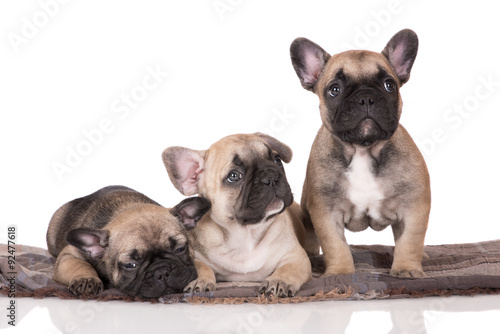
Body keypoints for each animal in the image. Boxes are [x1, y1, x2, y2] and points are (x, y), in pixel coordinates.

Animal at [47, 185, 211, 298]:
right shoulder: (69, 254)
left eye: (180, 249)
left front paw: (202, 280)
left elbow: (201, 264)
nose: (162, 272)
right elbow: (78, 263)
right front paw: (86, 278)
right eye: (130, 265)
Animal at [162, 134, 310, 298]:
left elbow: (289, 269)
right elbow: (201, 266)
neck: (245, 234)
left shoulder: (296, 256)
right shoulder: (193, 256)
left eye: (277, 160)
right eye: (234, 176)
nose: (271, 176)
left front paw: (278, 280)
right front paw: (199, 281)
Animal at [292, 30, 432, 278]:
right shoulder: (326, 213)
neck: (363, 150)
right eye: (334, 90)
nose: (366, 97)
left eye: (389, 85)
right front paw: (340, 273)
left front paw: (407, 268)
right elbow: (335, 245)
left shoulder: (414, 206)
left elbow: (409, 241)